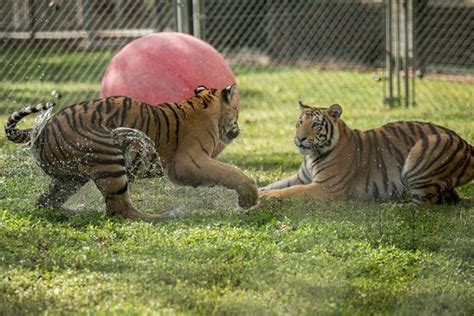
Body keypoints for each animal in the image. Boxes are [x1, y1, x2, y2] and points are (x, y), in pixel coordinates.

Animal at [3, 84, 258, 220]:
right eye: (237, 111)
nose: (237, 130)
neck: (201, 103)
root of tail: (41, 130)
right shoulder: (189, 162)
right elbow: (230, 172)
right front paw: (249, 198)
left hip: (70, 178)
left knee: (45, 201)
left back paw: (75, 211)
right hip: (109, 158)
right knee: (120, 210)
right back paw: (166, 215)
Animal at [260, 102, 474, 205]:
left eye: (315, 125)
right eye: (299, 123)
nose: (300, 138)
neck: (311, 156)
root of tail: (467, 144)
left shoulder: (328, 187)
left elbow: (291, 191)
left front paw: (266, 197)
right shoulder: (301, 177)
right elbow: (274, 184)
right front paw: (260, 190)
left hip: (426, 149)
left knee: (422, 204)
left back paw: (391, 207)